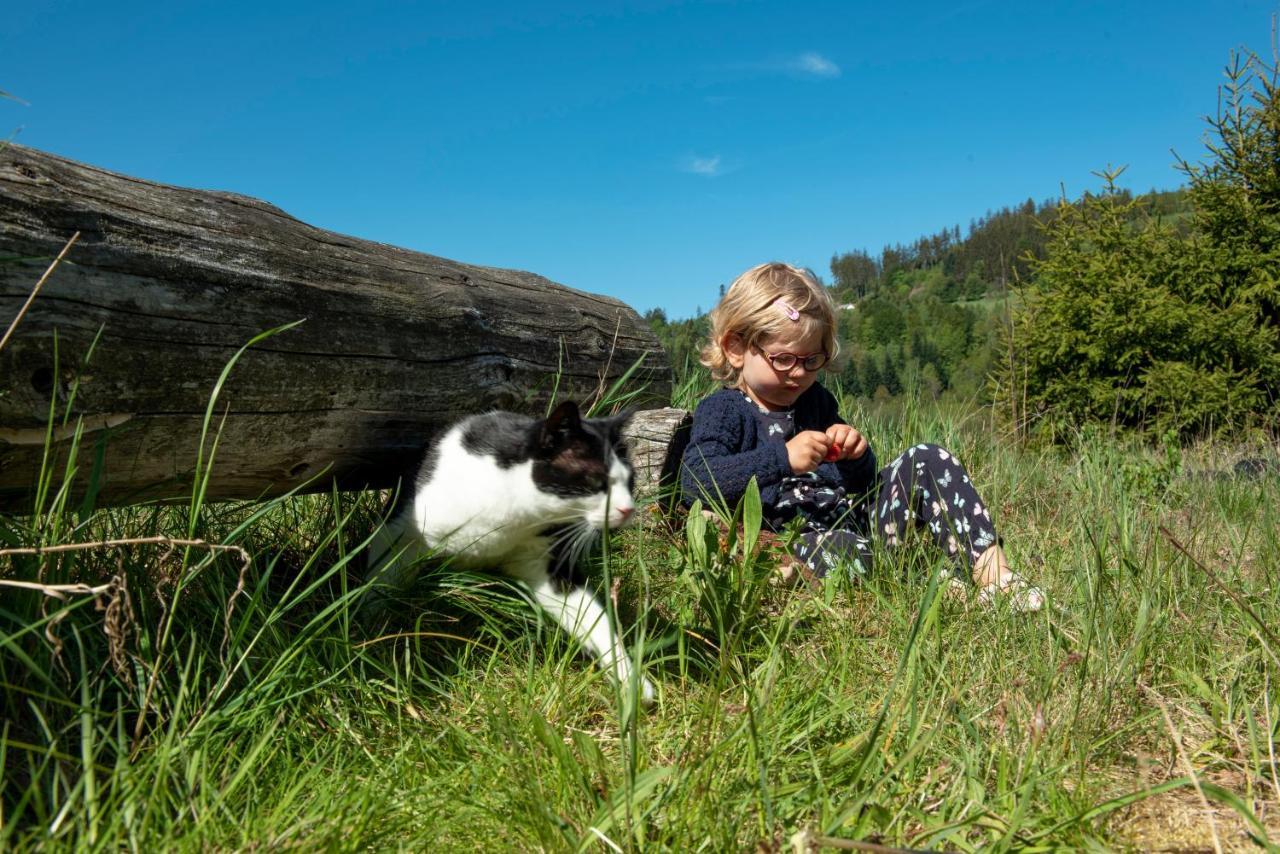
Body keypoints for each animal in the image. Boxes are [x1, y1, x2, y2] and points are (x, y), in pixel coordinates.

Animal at [368, 404, 650, 706]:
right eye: (596, 481)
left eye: (631, 481)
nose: (628, 509)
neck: (513, 516)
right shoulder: (399, 533)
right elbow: (378, 587)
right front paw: (373, 637)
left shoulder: (547, 563)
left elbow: (594, 620)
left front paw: (632, 682)